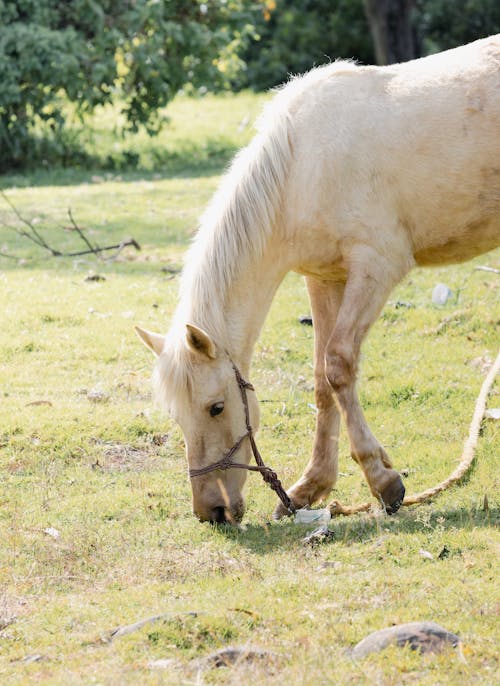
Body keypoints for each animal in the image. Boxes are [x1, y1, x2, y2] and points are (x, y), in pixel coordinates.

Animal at [137, 35, 500, 524]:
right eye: (176, 416)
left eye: (216, 408)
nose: (211, 511)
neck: (302, 168)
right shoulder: (325, 279)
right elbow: (321, 382)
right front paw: (311, 486)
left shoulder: (377, 267)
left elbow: (338, 365)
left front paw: (382, 481)